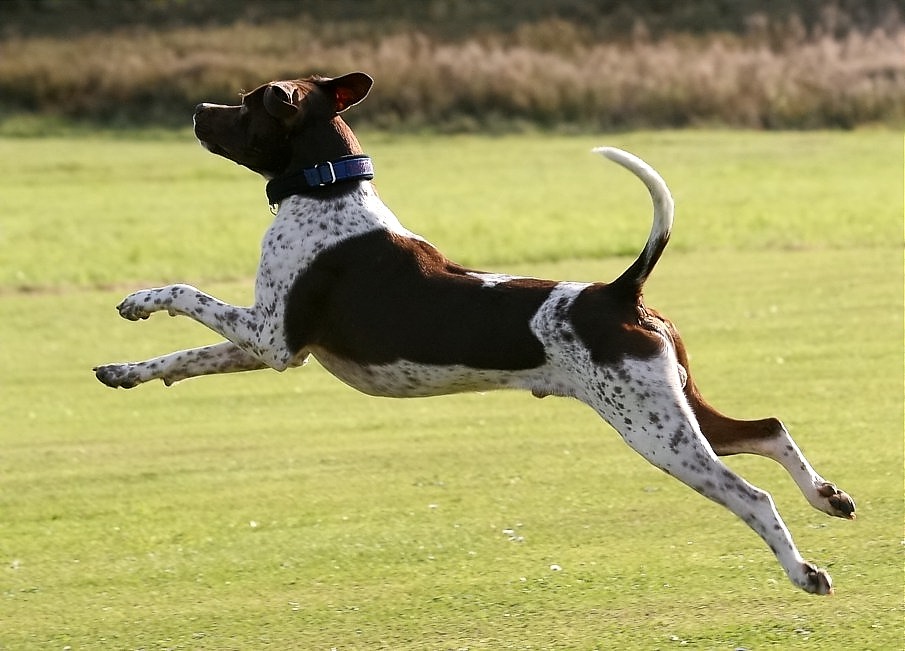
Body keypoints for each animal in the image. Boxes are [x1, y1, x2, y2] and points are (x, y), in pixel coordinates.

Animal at [93, 71, 856, 596]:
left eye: (249, 102)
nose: (196, 110)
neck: (327, 191)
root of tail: (619, 291)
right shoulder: (261, 344)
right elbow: (184, 355)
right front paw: (124, 371)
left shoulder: (274, 339)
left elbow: (185, 292)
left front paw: (135, 299)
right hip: (676, 408)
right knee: (768, 427)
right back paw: (828, 496)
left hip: (656, 433)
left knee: (751, 495)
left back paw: (803, 571)